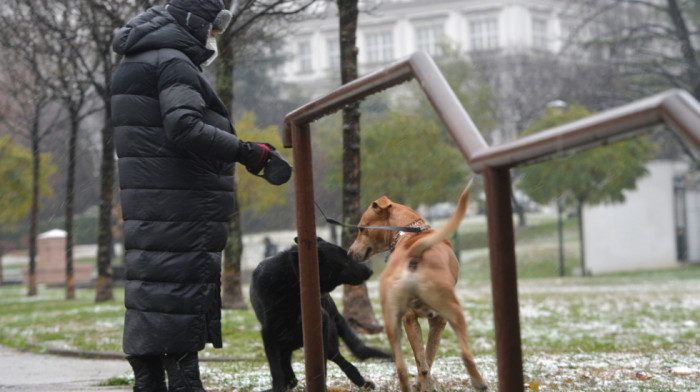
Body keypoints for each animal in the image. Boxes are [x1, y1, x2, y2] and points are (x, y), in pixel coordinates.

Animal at [250, 237, 394, 390]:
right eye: (344, 261)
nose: (370, 271)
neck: (294, 281)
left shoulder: (321, 325)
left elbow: (322, 364)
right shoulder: (269, 336)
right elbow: (276, 369)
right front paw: (278, 387)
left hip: (328, 342)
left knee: (344, 363)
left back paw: (363, 383)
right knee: (290, 375)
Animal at [348, 182, 486, 390]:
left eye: (362, 228)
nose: (349, 253)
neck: (408, 233)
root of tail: (413, 251)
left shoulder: (415, 319)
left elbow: (423, 360)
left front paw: (422, 382)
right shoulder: (439, 320)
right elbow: (428, 356)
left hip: (394, 321)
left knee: (402, 368)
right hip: (453, 310)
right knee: (465, 355)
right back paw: (479, 382)